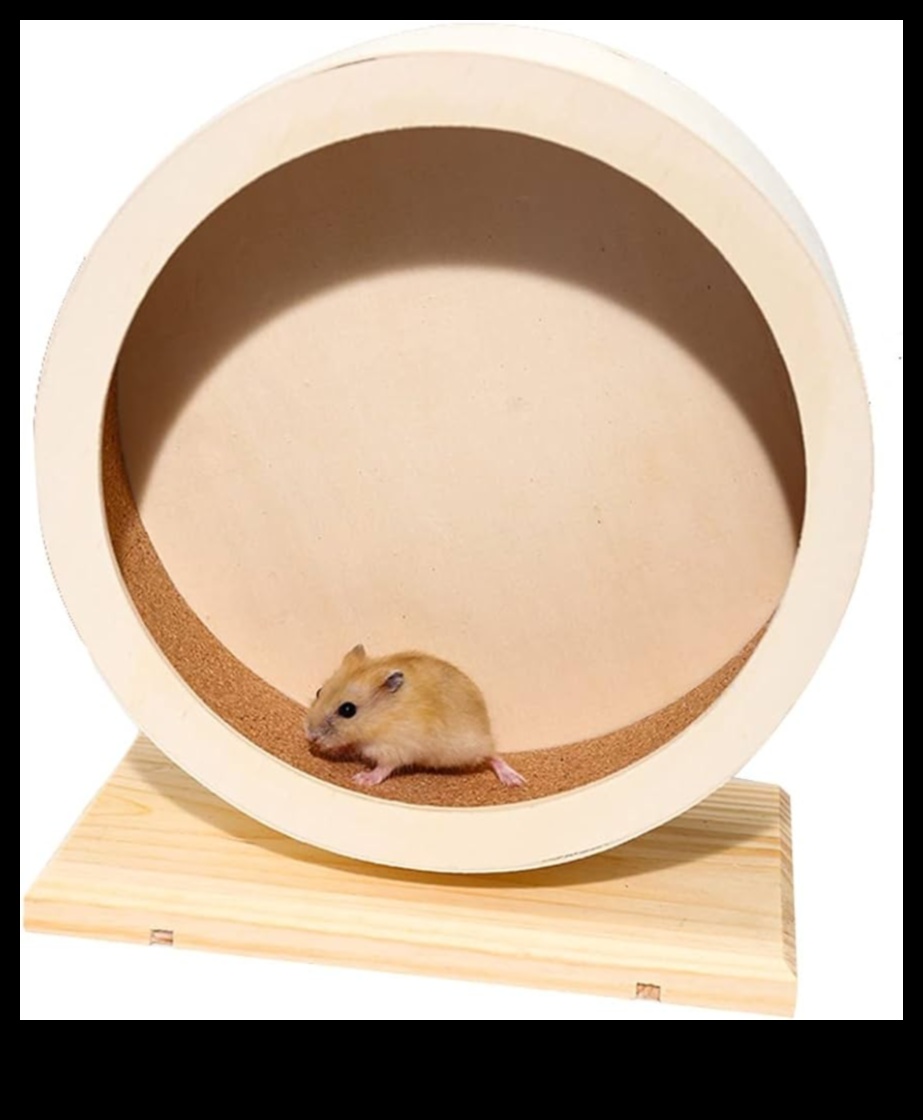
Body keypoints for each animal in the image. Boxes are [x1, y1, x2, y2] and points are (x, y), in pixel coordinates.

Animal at [304, 645, 526, 788]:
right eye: (318, 691)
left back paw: (515, 781)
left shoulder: (395, 749)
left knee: (493, 755)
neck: (381, 718)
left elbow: (383, 768)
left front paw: (361, 779)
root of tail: (486, 726)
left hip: (469, 748)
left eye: (348, 710)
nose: (310, 736)